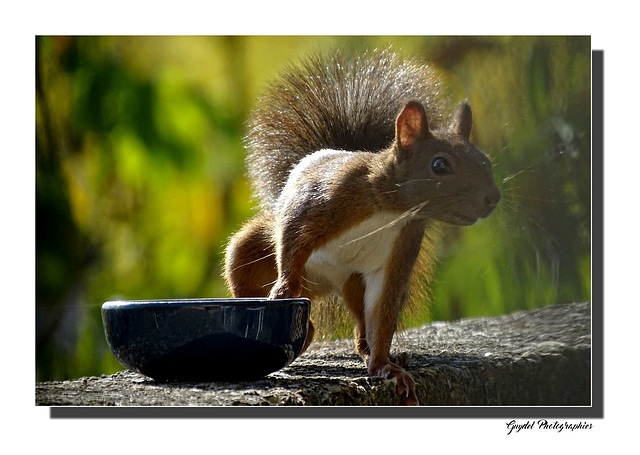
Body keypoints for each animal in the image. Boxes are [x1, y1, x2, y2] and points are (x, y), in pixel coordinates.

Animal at [224, 50, 500, 406]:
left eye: (485, 161)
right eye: (440, 165)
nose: (492, 198)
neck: (392, 208)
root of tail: (326, 285)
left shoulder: (404, 244)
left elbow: (382, 307)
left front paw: (384, 367)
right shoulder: (325, 199)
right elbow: (293, 236)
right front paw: (284, 290)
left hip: (354, 281)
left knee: (364, 326)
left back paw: (383, 355)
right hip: (257, 255)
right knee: (252, 269)